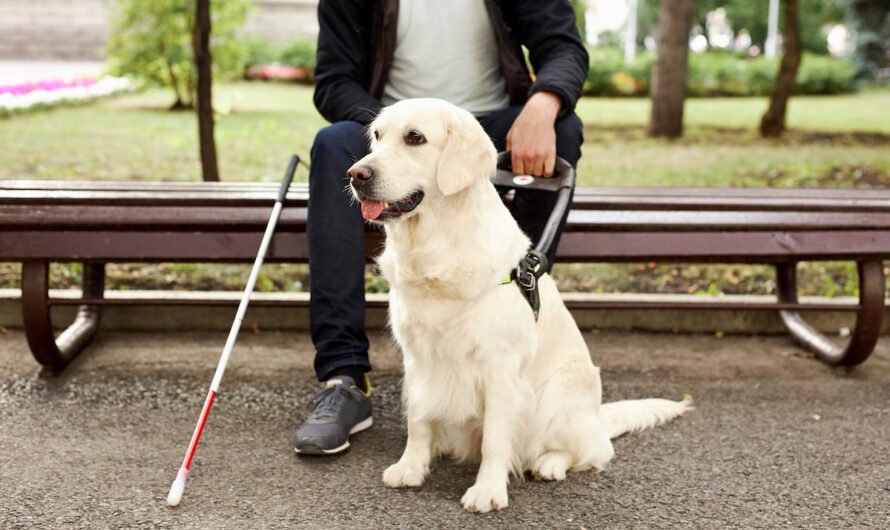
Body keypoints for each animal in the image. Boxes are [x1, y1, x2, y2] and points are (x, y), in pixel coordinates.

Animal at [346, 97, 688, 510]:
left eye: (415, 137)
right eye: (377, 136)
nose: (355, 174)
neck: (437, 248)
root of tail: (597, 416)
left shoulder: (501, 366)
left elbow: (495, 439)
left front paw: (488, 490)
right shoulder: (417, 359)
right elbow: (418, 419)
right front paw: (411, 467)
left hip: (562, 390)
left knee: (589, 451)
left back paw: (550, 464)